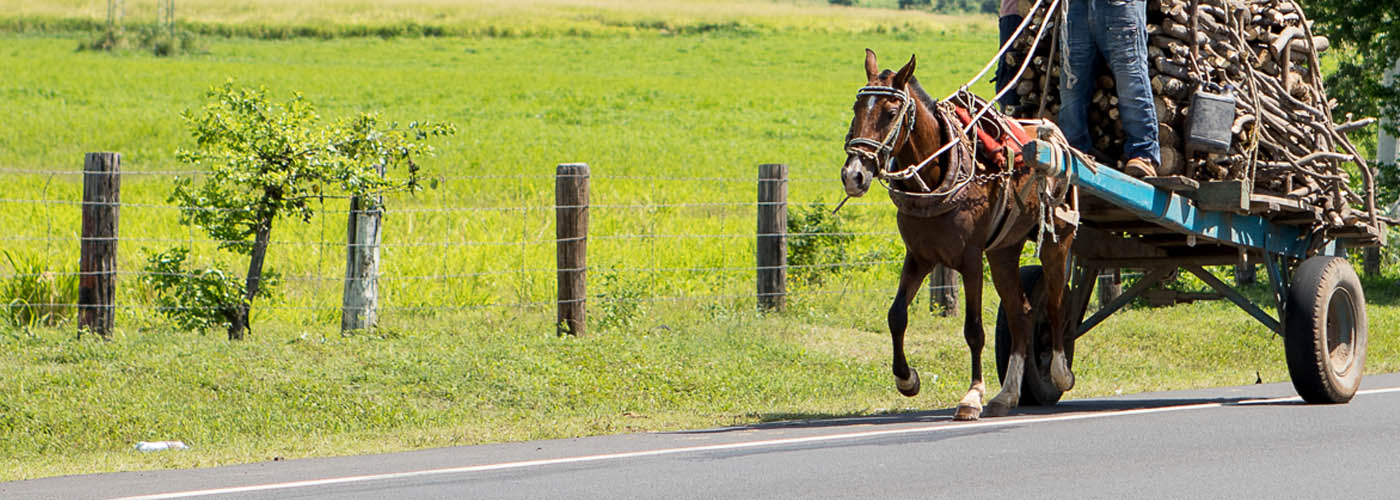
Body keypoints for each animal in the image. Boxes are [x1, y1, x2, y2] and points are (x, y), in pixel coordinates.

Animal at [834, 49, 1075, 417]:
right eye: (856, 108)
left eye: (891, 113)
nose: (854, 175)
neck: (937, 175)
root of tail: (1053, 133)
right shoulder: (919, 256)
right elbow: (896, 315)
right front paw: (906, 379)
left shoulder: (971, 261)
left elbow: (974, 329)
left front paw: (972, 396)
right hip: (1003, 251)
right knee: (1021, 313)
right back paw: (1007, 394)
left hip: (1057, 238)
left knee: (1055, 302)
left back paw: (1060, 373)